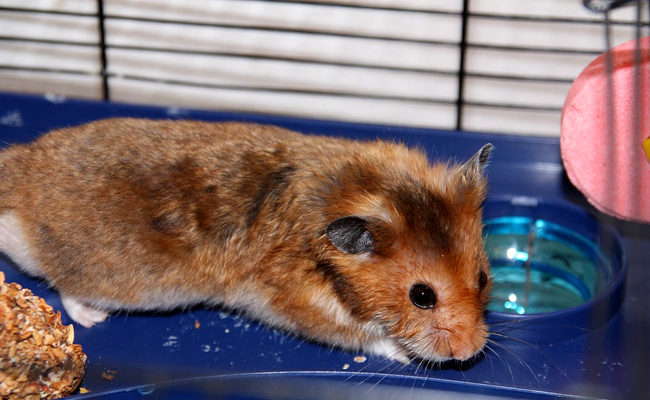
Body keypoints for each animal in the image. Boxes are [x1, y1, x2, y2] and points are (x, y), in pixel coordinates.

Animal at [0, 118, 492, 364]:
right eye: (421, 296)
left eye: (484, 278)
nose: (471, 353)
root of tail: (18, 176)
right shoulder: (300, 308)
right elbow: (364, 337)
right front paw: (404, 355)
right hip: (109, 281)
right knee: (65, 289)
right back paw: (94, 319)